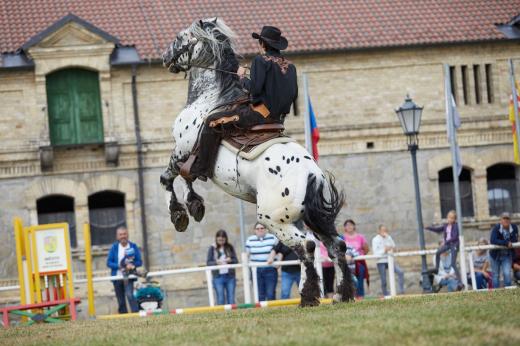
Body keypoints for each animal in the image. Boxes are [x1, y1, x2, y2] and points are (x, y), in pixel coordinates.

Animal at [159, 17, 354, 304]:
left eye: (179, 37)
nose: (165, 58)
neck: (210, 98)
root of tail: (311, 173)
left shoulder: (182, 151)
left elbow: (171, 177)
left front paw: (180, 213)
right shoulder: (186, 156)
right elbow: (187, 177)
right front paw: (195, 205)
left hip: (274, 219)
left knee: (306, 247)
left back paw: (308, 297)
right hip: (314, 217)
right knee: (337, 246)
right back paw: (342, 294)